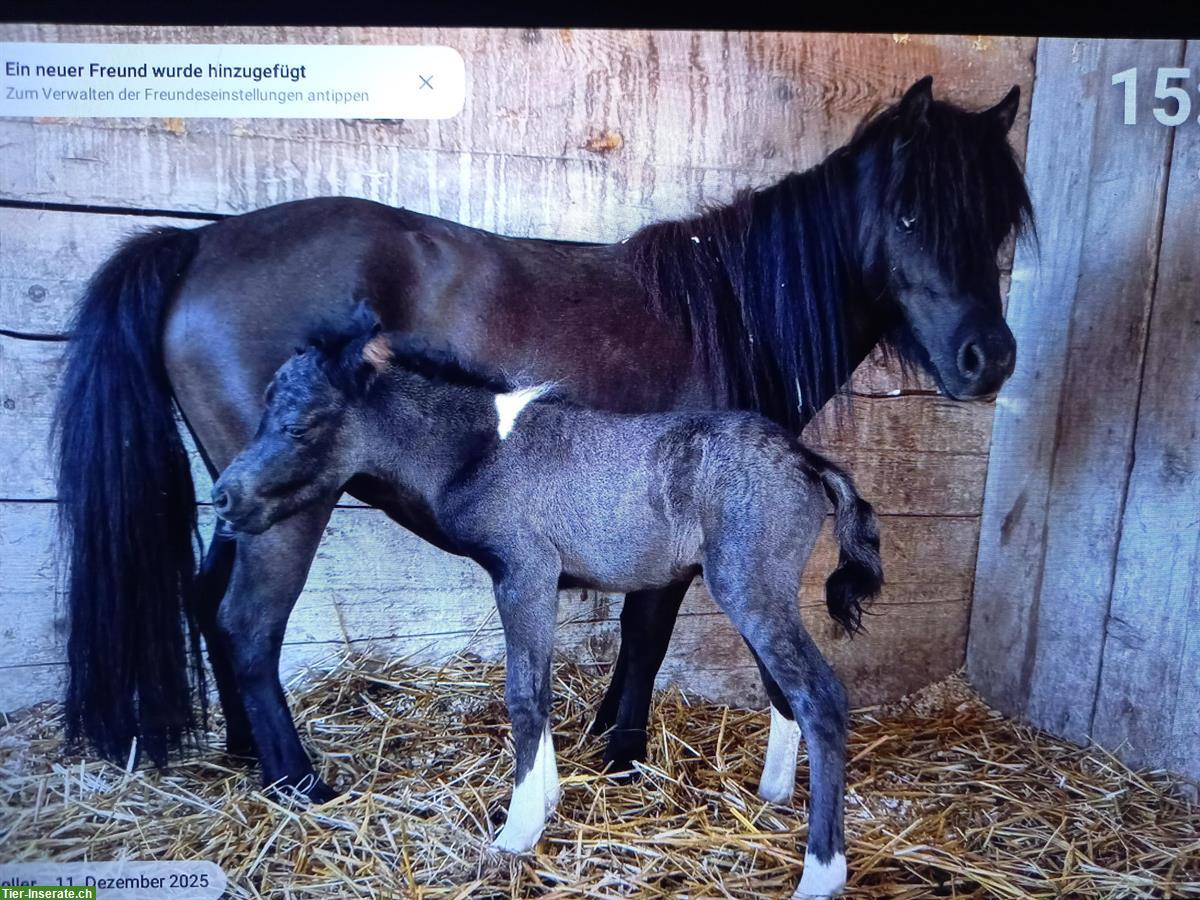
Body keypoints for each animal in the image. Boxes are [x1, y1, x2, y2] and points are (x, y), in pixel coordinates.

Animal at [54, 76, 1033, 803]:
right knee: (248, 626)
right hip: (290, 507)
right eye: (908, 216)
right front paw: (622, 753)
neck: (723, 315)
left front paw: (608, 742)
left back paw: (244, 758)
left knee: (206, 602)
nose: (989, 359)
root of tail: (199, 244)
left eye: (994, 226)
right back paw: (298, 781)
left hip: (248, 496)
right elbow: (646, 635)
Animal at [211, 308, 884, 897]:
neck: (481, 449)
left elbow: (525, 695)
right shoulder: (534, 580)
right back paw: (772, 796)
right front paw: (549, 798)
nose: (222, 497)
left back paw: (821, 874)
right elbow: (538, 685)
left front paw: (519, 830)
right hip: (757, 588)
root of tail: (809, 461)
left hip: (748, 587)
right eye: (262, 413)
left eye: (300, 425)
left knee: (820, 696)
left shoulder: (524, 572)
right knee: (784, 689)